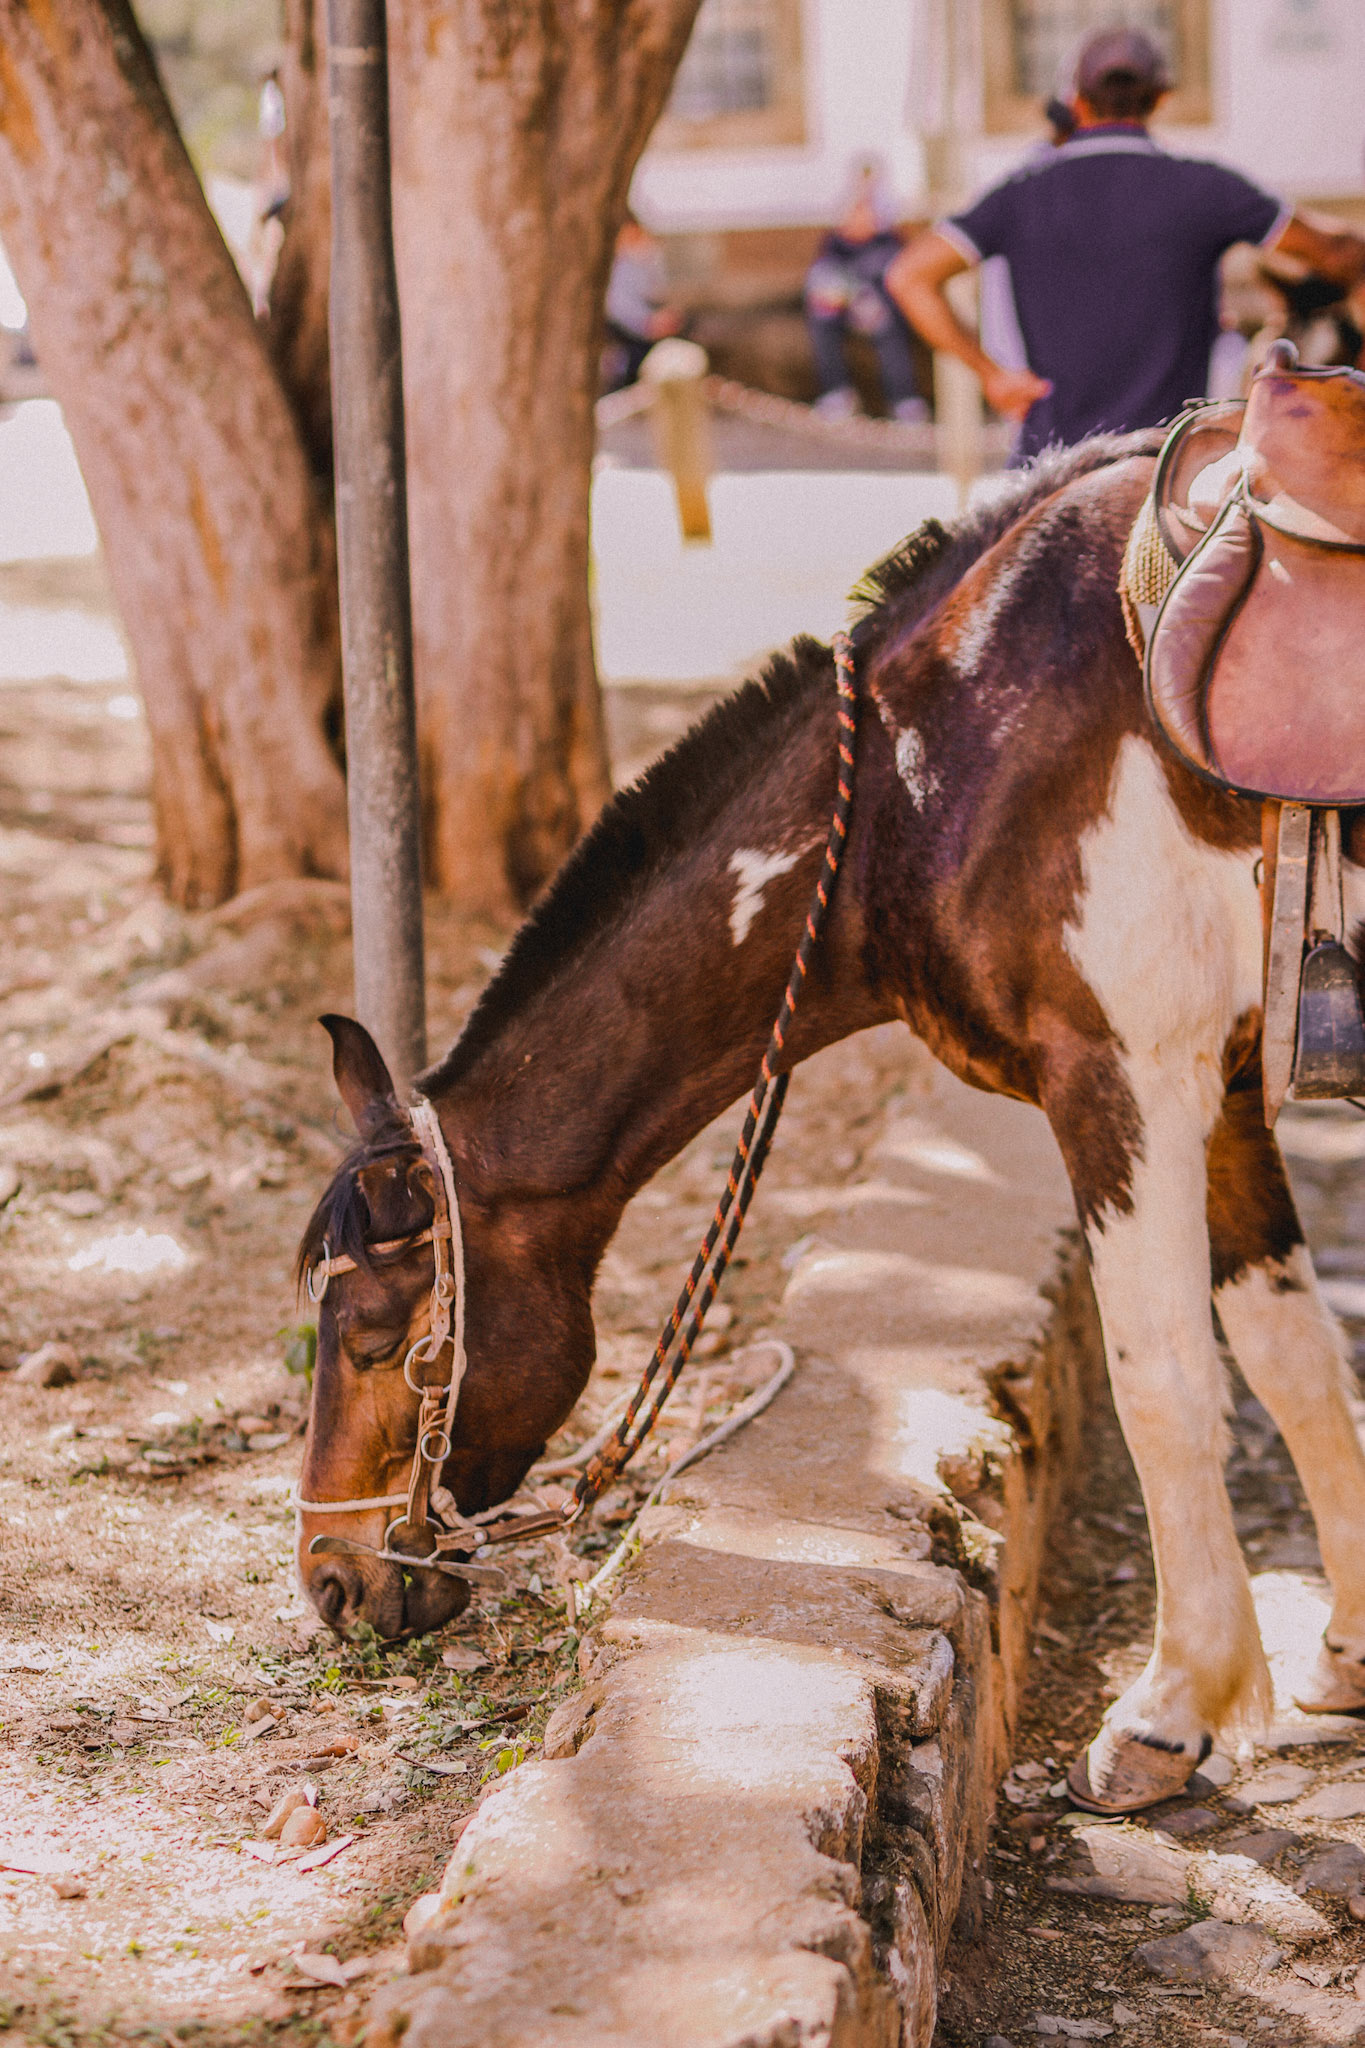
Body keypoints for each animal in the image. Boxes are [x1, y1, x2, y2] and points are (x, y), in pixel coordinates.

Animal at [294, 430, 1365, 1815]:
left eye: (376, 1333)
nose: (331, 1577)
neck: (926, 764)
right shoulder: (1226, 1081)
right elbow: (1292, 1355)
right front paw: (1345, 1652)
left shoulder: (1125, 1077)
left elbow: (1167, 1378)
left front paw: (1170, 1712)